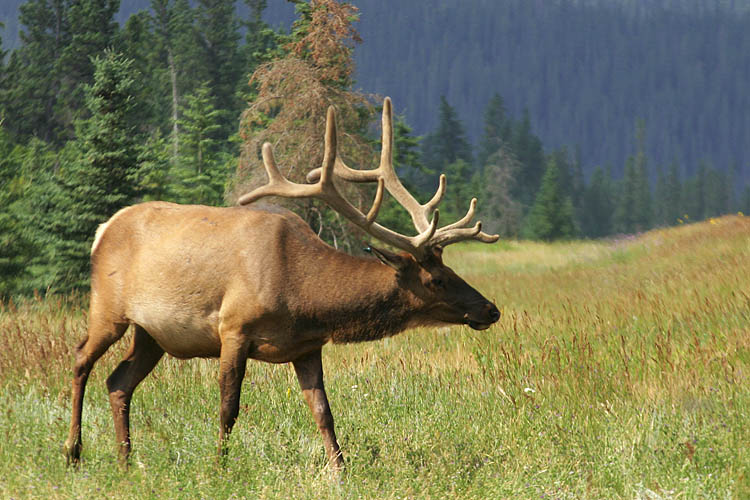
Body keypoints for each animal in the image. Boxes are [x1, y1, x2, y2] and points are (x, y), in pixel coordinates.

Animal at [63, 97, 501, 472]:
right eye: (438, 279)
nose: (490, 308)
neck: (305, 296)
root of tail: (102, 230)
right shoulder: (234, 329)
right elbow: (228, 407)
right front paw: (219, 467)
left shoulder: (306, 346)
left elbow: (324, 412)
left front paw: (340, 471)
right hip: (108, 308)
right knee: (81, 359)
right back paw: (74, 452)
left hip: (152, 333)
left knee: (119, 382)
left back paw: (125, 461)